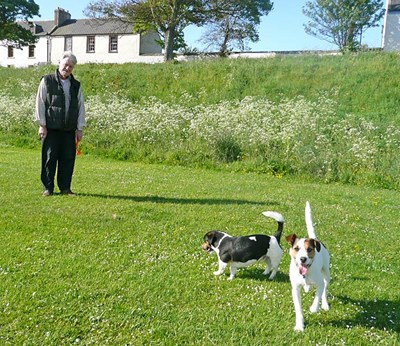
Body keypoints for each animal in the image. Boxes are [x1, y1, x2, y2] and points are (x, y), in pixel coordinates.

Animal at [286, 201, 330, 332]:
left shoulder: (319, 283)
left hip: (326, 272)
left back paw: (325, 304)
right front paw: (299, 326)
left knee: (325, 287)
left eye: (309, 249)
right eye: (296, 248)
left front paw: (314, 308)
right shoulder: (295, 289)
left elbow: (318, 295)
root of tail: (315, 238)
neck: (306, 273)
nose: (303, 259)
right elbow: (298, 309)